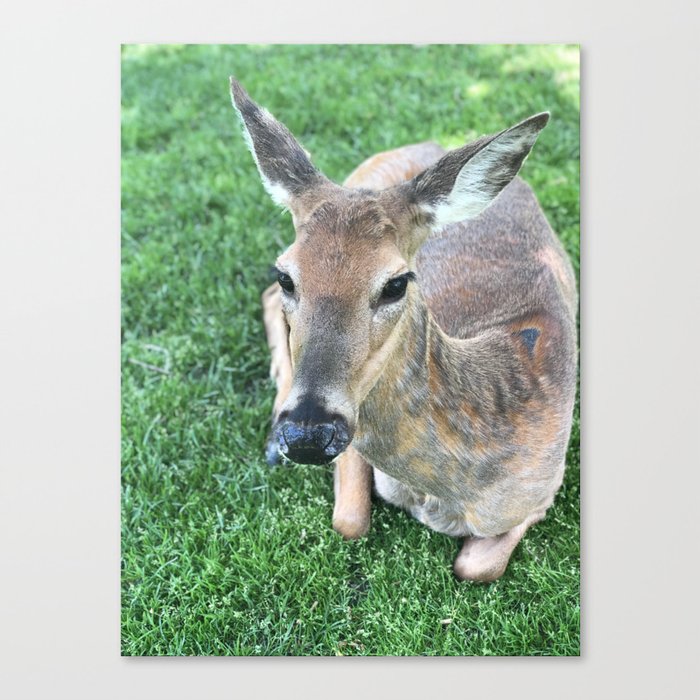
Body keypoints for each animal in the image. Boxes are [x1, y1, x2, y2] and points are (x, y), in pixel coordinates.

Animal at [228, 76, 576, 584]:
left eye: (396, 283)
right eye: (287, 274)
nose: (308, 435)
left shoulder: (546, 490)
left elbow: (476, 565)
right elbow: (349, 520)